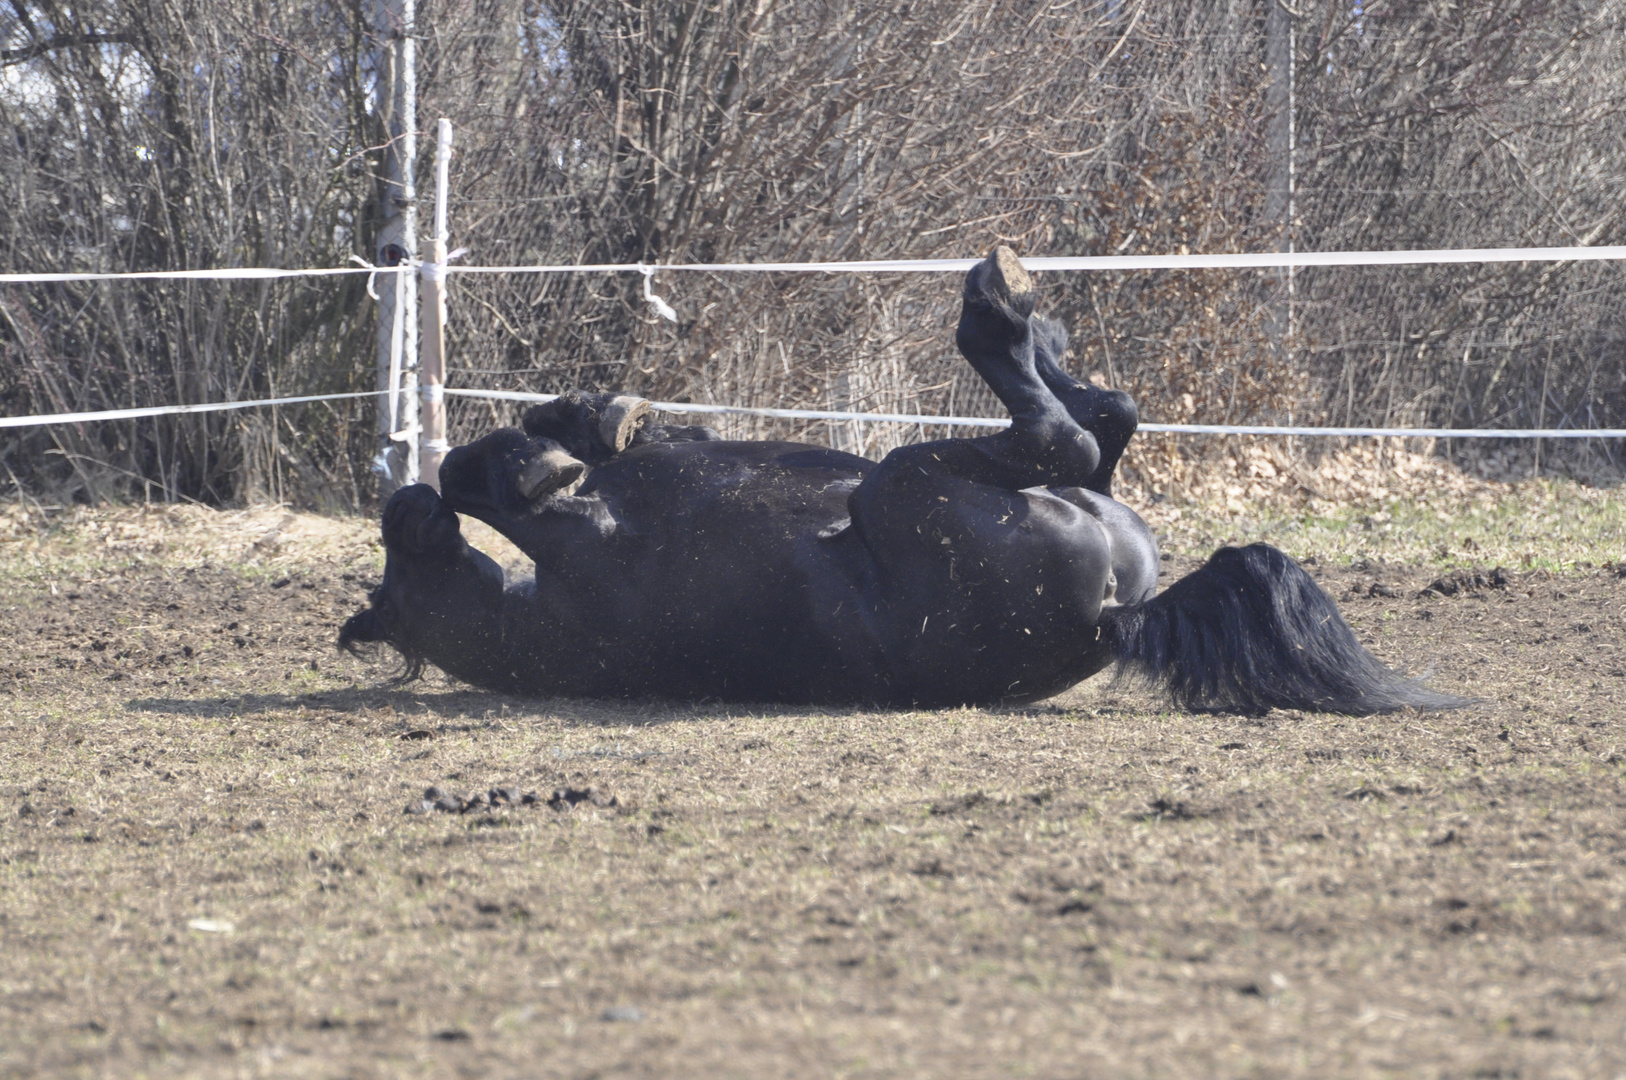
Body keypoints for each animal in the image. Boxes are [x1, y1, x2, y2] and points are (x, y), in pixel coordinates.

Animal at [339, 248, 1463, 712]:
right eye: (399, 564)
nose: (405, 512)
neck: (557, 610)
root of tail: (1112, 612)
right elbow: (491, 479)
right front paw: (550, 449)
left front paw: (582, 418)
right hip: (909, 482)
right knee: (1067, 436)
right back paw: (999, 305)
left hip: (926, 474)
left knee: (1103, 421)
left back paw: (1029, 315)